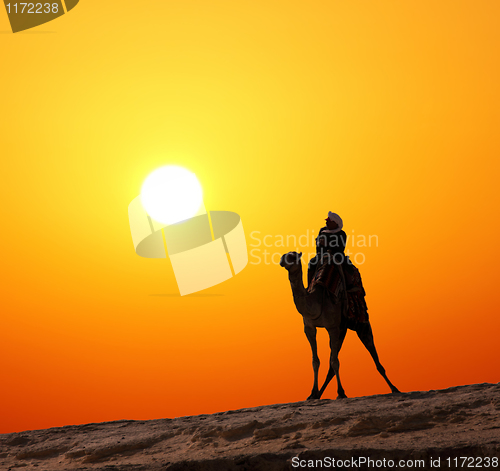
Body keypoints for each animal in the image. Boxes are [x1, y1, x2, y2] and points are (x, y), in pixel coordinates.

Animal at [280, 253, 400, 400]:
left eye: (292, 256)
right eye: (284, 255)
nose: (281, 261)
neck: (315, 301)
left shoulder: (332, 327)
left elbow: (335, 361)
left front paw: (341, 392)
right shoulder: (309, 328)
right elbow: (316, 361)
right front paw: (312, 393)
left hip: (362, 324)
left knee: (373, 353)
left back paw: (394, 388)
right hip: (342, 329)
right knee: (332, 365)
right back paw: (318, 394)